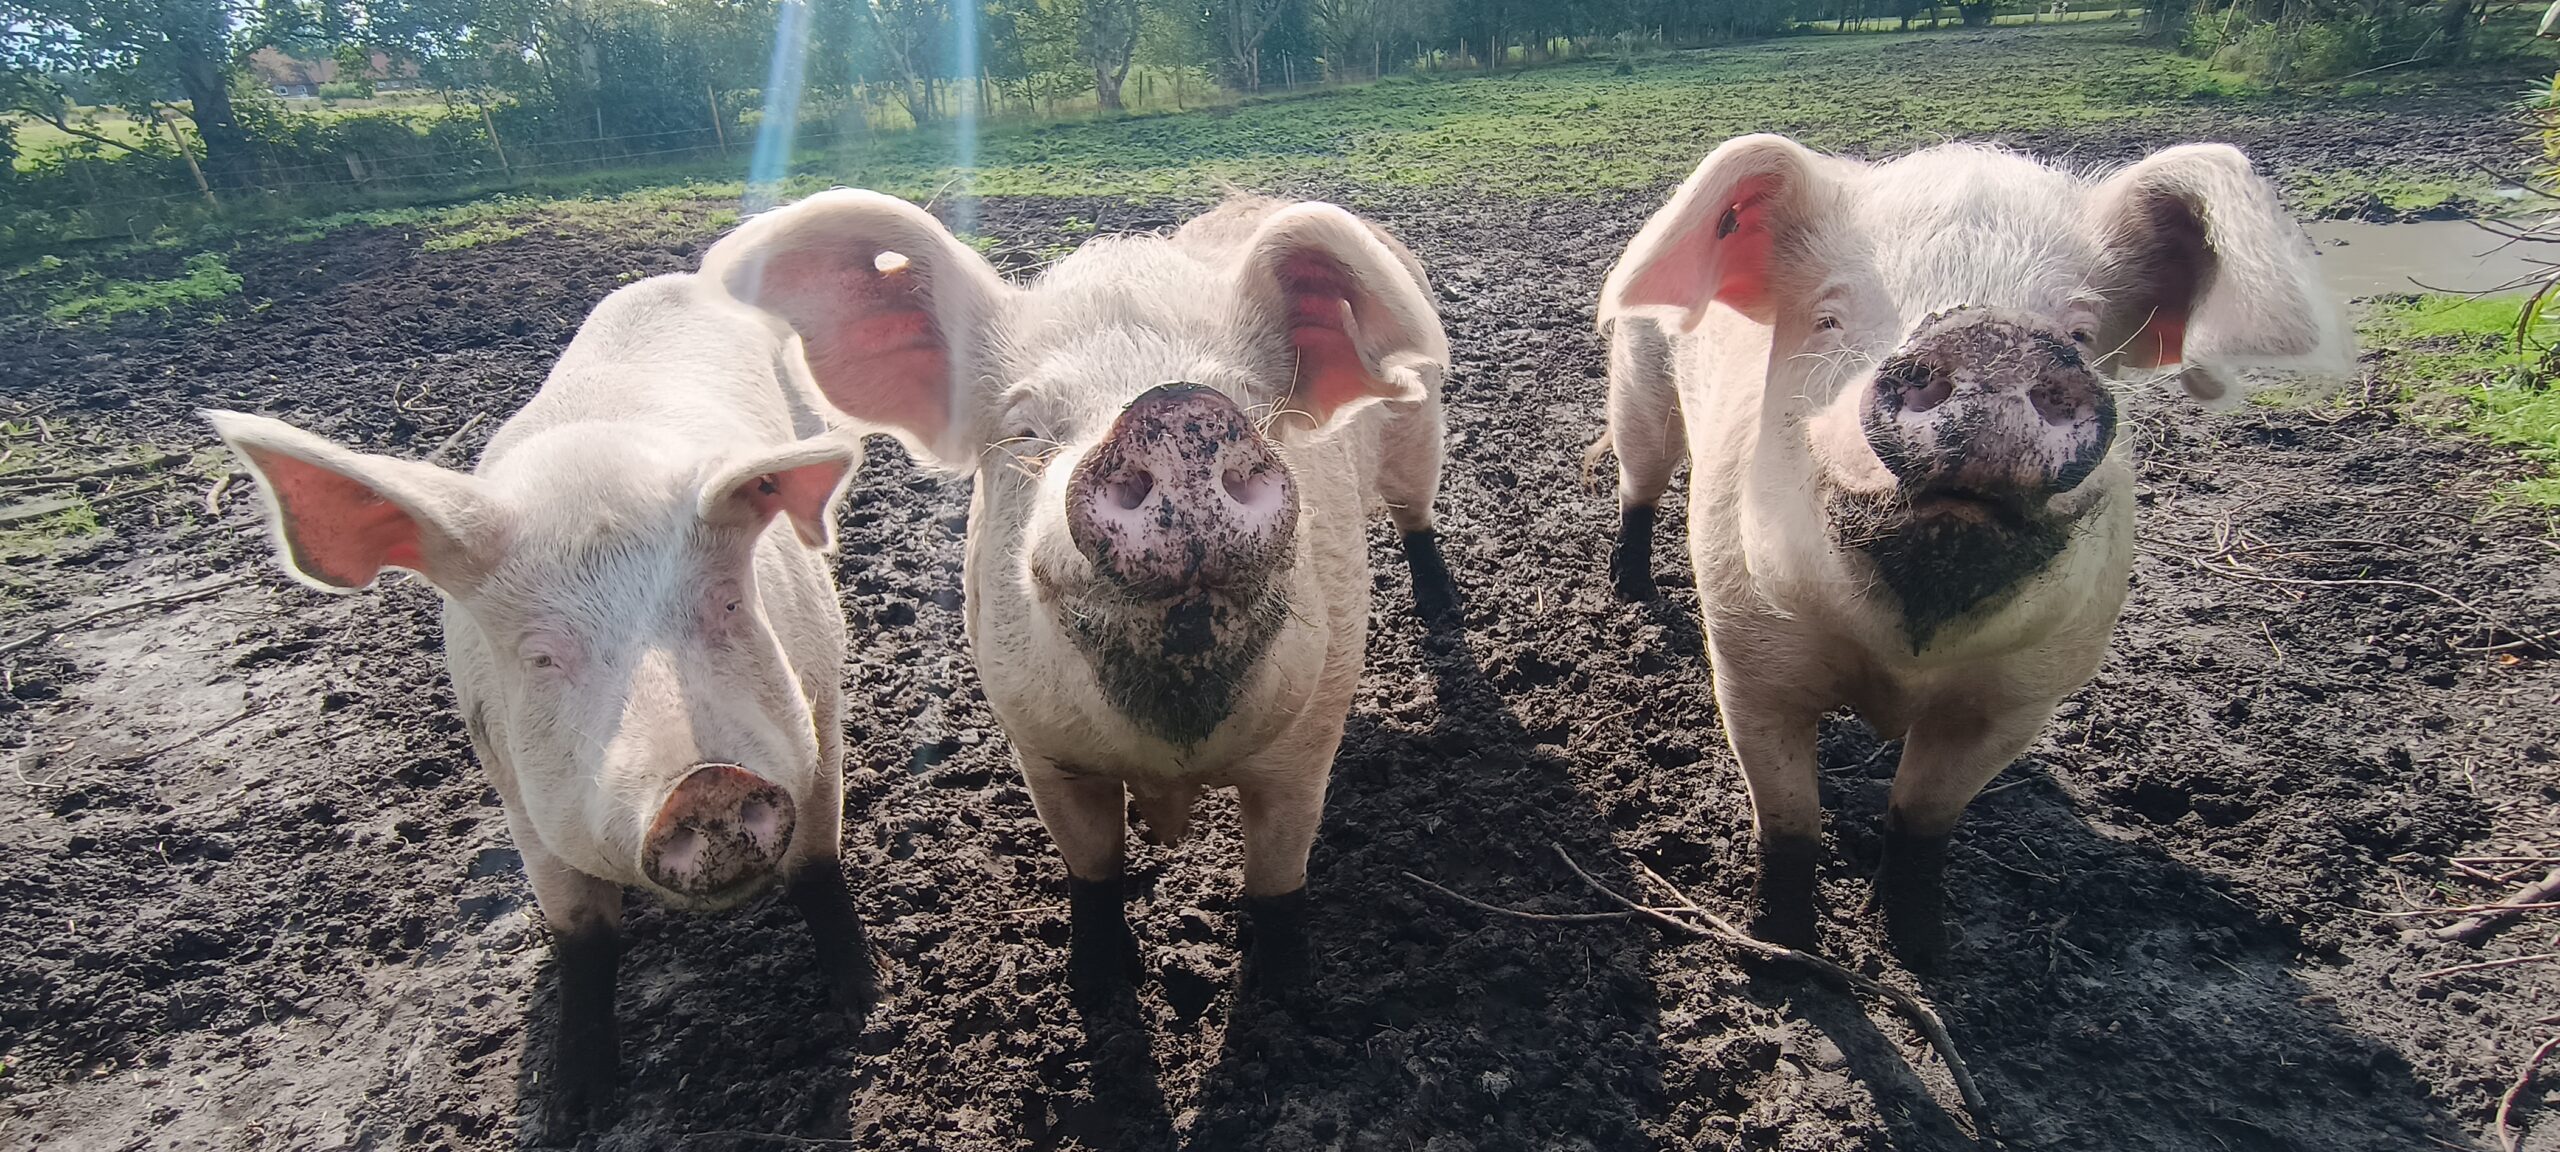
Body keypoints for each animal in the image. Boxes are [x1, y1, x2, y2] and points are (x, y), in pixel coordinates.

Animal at [202, 273, 880, 1136]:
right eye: (541, 656)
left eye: (729, 603)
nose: (704, 782)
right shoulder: (516, 791)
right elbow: (579, 938)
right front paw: (575, 1110)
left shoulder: (814, 717)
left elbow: (817, 867)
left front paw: (859, 1005)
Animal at [706, 193, 1464, 993]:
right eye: (1027, 429)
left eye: (1255, 408)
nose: (1174, 410)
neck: (1169, 753)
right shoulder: (1042, 751)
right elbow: (1092, 868)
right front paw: (1097, 984)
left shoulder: (1310, 738)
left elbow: (1278, 881)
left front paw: (1285, 990)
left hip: (1420, 436)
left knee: (1417, 515)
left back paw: (1445, 608)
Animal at [1587, 135, 2344, 962]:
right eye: (1828, 317)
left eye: (2082, 334)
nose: (1993, 336)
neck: (1903, 658)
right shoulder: (1751, 655)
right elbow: (1790, 824)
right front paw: (1782, 954)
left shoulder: (2022, 695)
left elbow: (1923, 820)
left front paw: (1926, 951)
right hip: (1640, 387)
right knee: (1639, 487)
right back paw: (1632, 591)